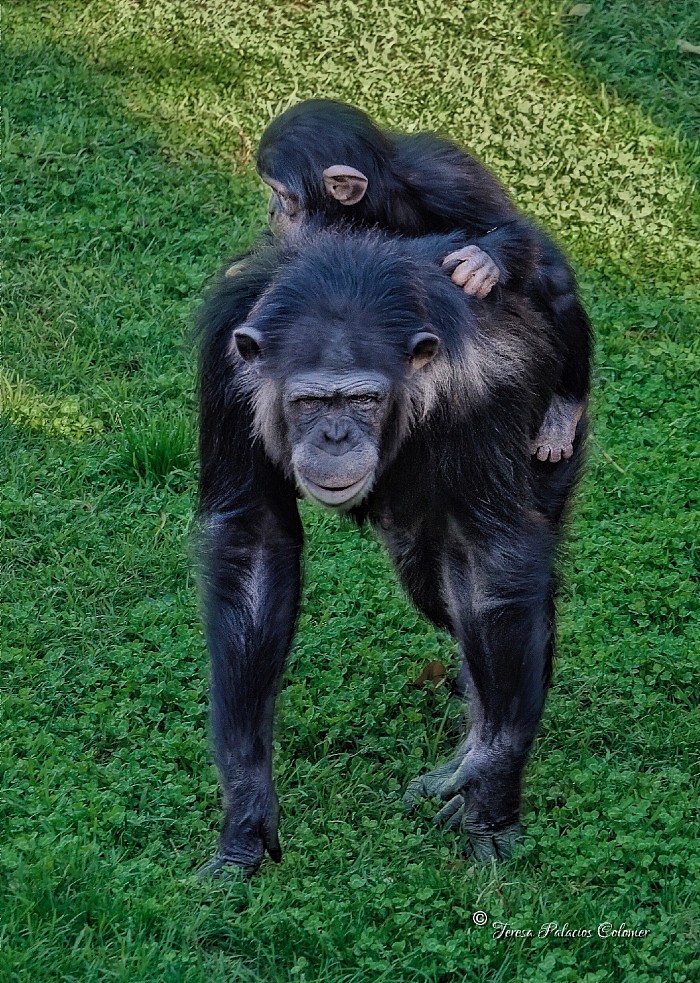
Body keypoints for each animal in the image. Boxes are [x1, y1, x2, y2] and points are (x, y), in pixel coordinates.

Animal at [197, 225, 592, 876]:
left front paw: (493, 792)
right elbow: (252, 541)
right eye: (309, 402)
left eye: (363, 400)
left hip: (556, 437)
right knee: (440, 590)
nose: (335, 436)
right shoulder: (226, 369)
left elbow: (492, 558)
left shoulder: (484, 383)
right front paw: (247, 811)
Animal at [253, 100, 592, 466]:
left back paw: (562, 413)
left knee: (553, 284)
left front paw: (484, 260)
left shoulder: (445, 177)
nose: (271, 209)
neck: (377, 197)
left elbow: (513, 227)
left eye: (282, 194)